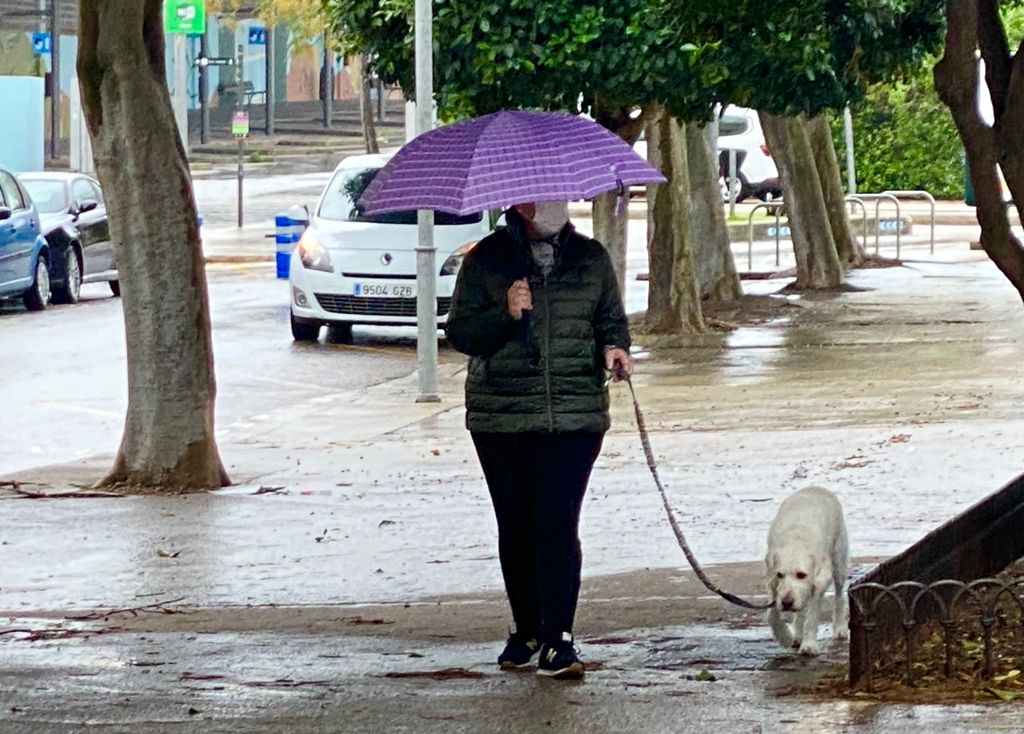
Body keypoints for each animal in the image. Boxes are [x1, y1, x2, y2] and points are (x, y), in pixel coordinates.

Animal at [765, 483, 851, 655]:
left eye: (801, 575)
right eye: (780, 575)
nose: (787, 603)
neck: (796, 541)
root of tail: (818, 487)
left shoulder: (820, 581)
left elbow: (812, 616)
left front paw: (809, 645)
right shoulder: (773, 583)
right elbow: (772, 614)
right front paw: (784, 636)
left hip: (839, 563)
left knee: (839, 596)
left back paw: (840, 628)